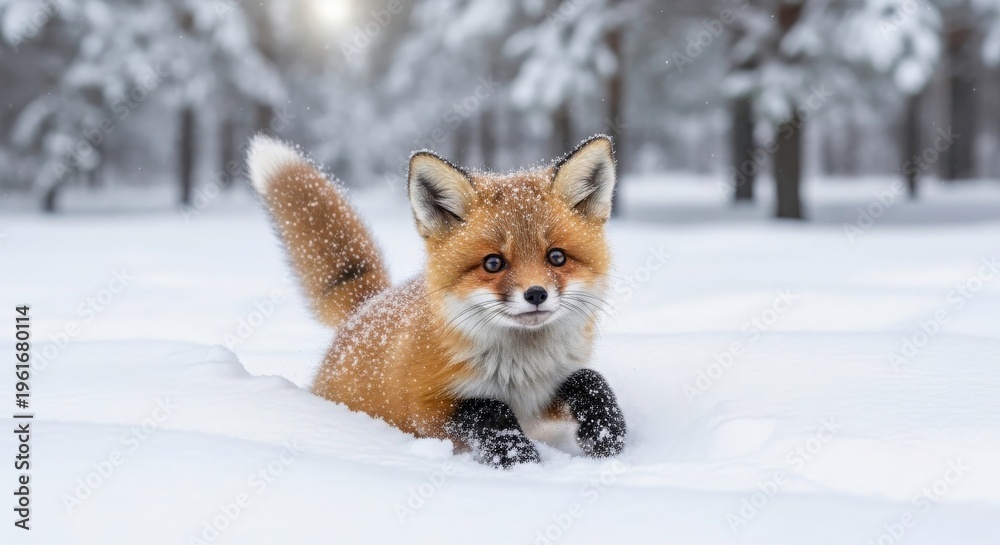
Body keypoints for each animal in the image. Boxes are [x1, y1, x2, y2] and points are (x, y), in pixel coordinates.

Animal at [246, 134, 626, 468]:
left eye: (557, 257)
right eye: (493, 263)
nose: (535, 294)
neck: (521, 371)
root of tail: (368, 304)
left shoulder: (540, 400)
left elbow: (589, 381)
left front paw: (607, 435)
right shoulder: (425, 408)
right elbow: (487, 410)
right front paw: (518, 460)